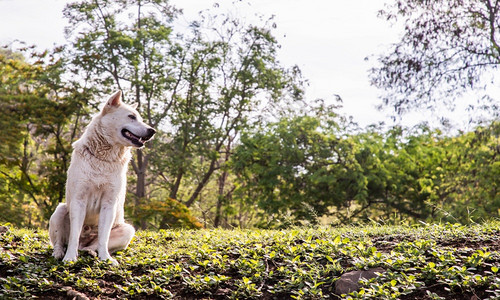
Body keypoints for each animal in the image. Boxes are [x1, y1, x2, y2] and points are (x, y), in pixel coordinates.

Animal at [49, 90, 155, 264]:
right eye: (131, 117)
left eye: (140, 118)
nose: (152, 131)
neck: (103, 159)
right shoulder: (78, 201)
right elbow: (73, 236)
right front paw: (70, 257)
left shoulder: (109, 203)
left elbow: (103, 237)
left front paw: (106, 258)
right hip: (60, 210)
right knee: (60, 242)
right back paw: (59, 253)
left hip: (128, 229)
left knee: (93, 245)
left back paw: (92, 252)